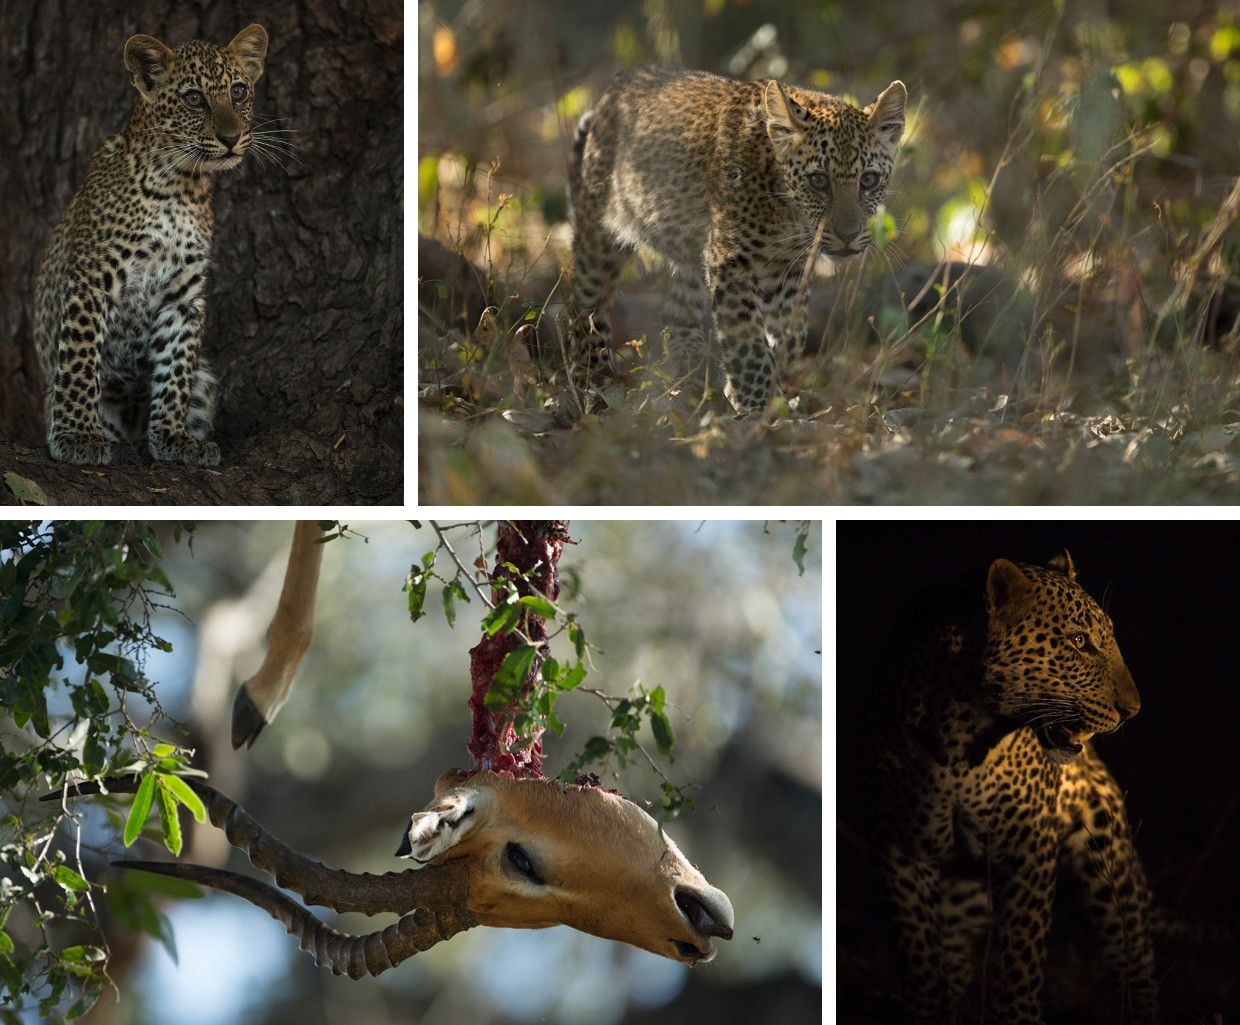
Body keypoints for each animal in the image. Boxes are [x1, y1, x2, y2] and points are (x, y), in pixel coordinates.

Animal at [33, 25, 268, 466]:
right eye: (194, 98)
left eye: (239, 91)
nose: (231, 139)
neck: (180, 186)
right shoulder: (93, 277)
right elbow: (79, 359)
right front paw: (76, 435)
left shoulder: (182, 294)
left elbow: (176, 368)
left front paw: (173, 437)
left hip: (206, 378)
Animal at [566, 64, 906, 415]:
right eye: (818, 180)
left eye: (869, 180)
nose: (848, 235)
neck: (790, 213)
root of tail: (617, 87)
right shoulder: (730, 260)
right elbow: (747, 343)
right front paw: (756, 406)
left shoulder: (788, 268)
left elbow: (792, 333)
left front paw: (768, 391)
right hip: (599, 232)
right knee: (586, 306)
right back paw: (594, 385)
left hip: (689, 247)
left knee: (676, 310)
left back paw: (693, 371)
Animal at [867, 552, 1159, 1024]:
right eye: (1079, 641)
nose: (1133, 710)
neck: (960, 741)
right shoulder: (900, 848)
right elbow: (919, 953)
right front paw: (928, 1010)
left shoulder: (1029, 847)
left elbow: (1021, 953)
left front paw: (1018, 1015)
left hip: (1108, 854)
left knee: (1133, 946)